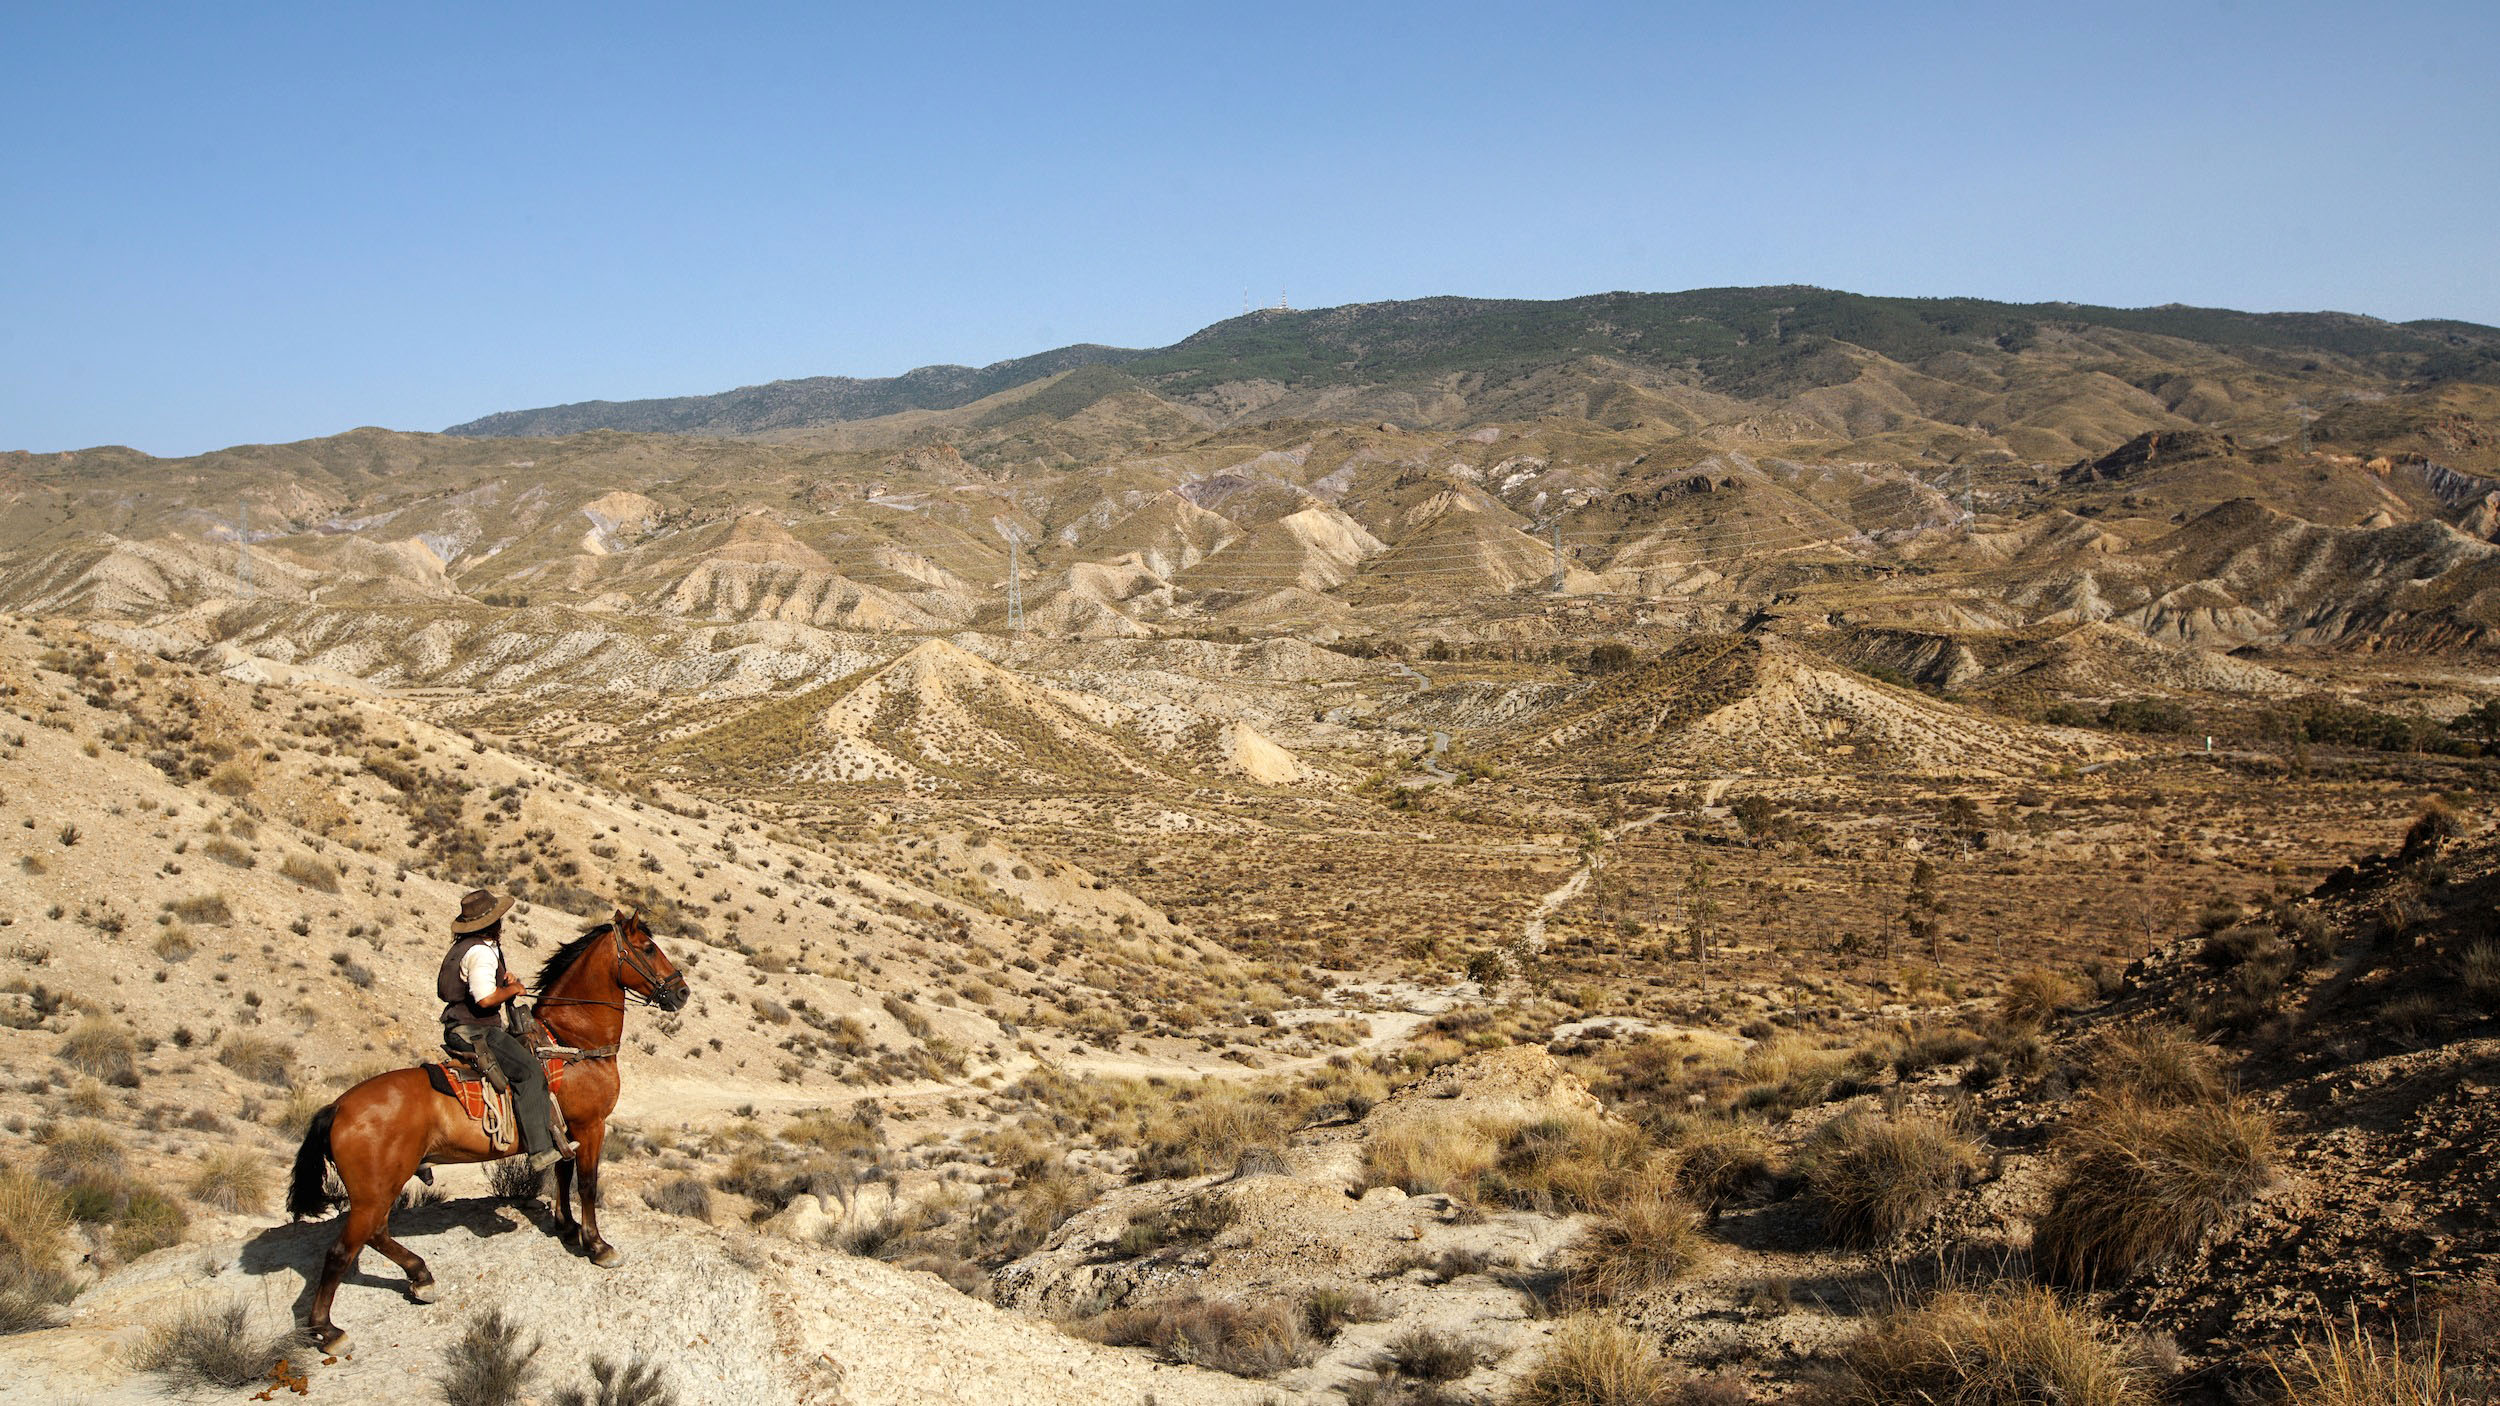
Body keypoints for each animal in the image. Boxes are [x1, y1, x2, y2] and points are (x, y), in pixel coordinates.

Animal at [285, 908, 689, 1352]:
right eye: (648, 948)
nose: (682, 992)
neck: (572, 1043)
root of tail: (337, 1107)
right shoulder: (590, 1126)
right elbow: (585, 1183)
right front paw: (597, 1245)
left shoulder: (565, 1128)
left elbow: (561, 1175)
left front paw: (566, 1228)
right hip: (374, 1192)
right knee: (342, 1251)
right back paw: (328, 1330)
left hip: (378, 1189)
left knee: (374, 1235)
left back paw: (420, 1277)